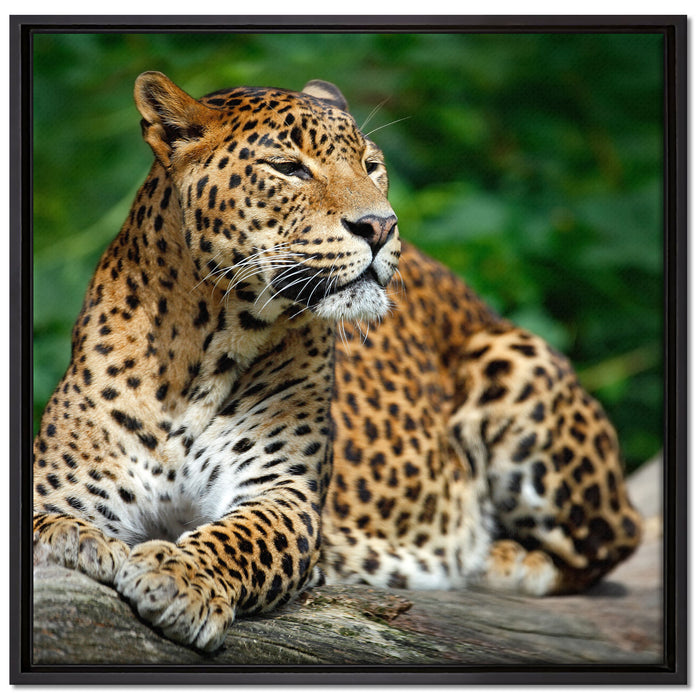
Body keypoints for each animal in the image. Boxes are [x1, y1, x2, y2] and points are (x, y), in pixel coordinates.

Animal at [33, 71, 642, 653]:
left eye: (372, 166)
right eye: (288, 168)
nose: (381, 225)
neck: (203, 348)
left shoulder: (284, 495)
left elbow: (237, 540)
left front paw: (178, 577)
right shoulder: (60, 483)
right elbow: (49, 519)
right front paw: (76, 539)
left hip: (515, 359)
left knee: (616, 539)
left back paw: (497, 558)